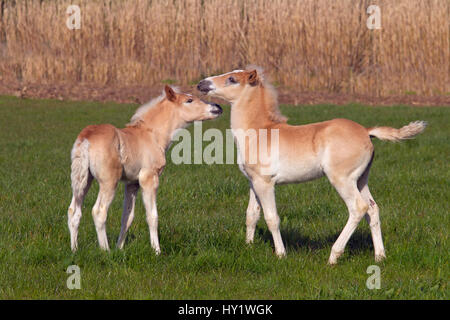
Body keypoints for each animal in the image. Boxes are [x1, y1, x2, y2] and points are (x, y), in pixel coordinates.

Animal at [67, 85, 222, 252]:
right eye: (189, 100)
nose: (217, 107)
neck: (152, 135)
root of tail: (86, 139)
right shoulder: (149, 178)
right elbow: (152, 216)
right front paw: (157, 251)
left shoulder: (132, 183)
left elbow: (127, 217)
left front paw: (120, 249)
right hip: (109, 182)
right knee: (99, 211)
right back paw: (105, 251)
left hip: (84, 179)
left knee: (74, 211)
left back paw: (74, 249)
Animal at [199, 67, 428, 262]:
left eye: (232, 79)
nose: (201, 83)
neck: (259, 131)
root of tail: (366, 131)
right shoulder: (252, 182)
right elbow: (251, 215)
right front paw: (248, 246)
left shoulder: (265, 183)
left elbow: (272, 218)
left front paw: (281, 254)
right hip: (361, 179)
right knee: (372, 209)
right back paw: (380, 256)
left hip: (342, 179)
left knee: (358, 208)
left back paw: (334, 256)